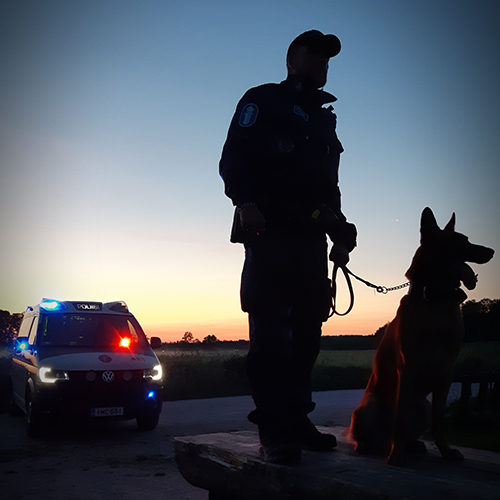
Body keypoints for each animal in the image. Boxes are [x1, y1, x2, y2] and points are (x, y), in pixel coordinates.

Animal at [350, 206, 494, 464]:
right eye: (460, 242)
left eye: (468, 239)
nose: (492, 251)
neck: (435, 301)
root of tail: (382, 442)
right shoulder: (408, 366)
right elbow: (398, 420)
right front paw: (397, 456)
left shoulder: (447, 373)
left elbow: (439, 423)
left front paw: (445, 451)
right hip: (369, 406)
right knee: (375, 433)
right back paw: (375, 446)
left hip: (424, 406)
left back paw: (410, 445)